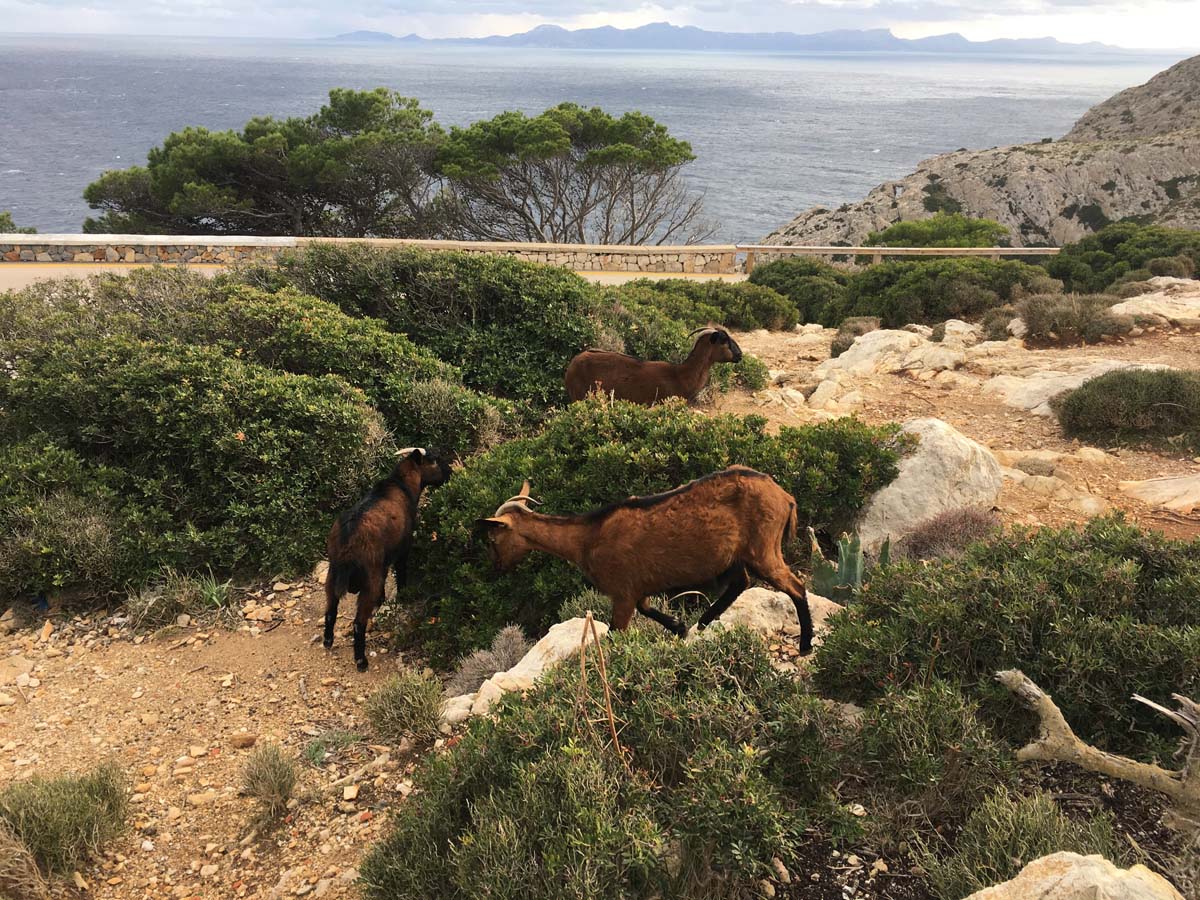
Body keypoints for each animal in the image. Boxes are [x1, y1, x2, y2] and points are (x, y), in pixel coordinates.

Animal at [324, 448, 451, 672]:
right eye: (434, 461)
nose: (450, 471)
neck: (401, 485)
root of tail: (347, 538)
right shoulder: (402, 550)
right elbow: (401, 573)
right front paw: (403, 597)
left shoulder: (382, 564)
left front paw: (383, 600)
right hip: (369, 577)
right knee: (358, 622)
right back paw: (361, 661)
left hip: (332, 572)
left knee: (331, 610)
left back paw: (328, 641)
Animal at [472, 468, 811, 652]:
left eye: (492, 539)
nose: (496, 567)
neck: (587, 537)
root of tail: (785, 498)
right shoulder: (637, 587)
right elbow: (647, 607)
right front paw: (679, 627)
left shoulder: (621, 593)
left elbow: (615, 633)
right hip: (738, 555)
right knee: (741, 582)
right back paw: (704, 621)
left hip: (763, 548)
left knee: (795, 586)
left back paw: (806, 644)